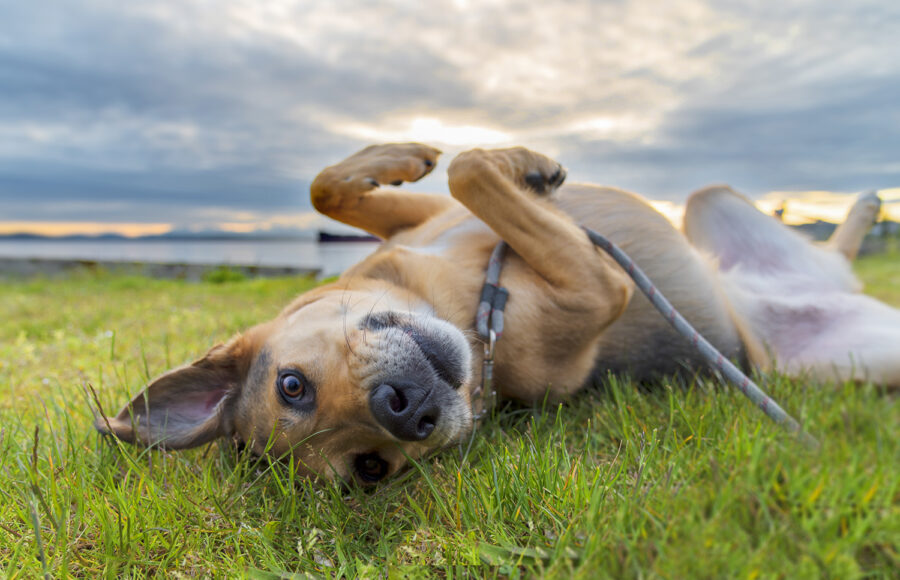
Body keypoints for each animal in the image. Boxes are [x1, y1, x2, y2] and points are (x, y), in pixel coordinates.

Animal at [95, 144, 896, 484]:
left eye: (292, 385)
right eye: (371, 469)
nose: (403, 409)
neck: (459, 301)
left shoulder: (423, 220)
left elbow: (345, 186)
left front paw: (418, 153)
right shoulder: (597, 286)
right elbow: (473, 173)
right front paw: (515, 163)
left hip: (708, 202)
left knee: (830, 248)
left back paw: (862, 207)